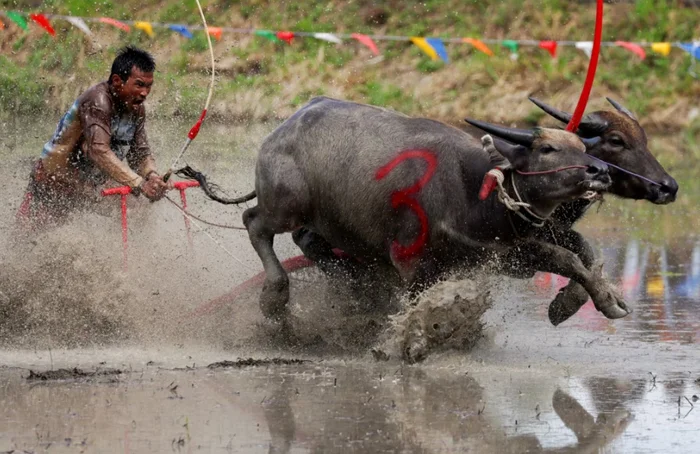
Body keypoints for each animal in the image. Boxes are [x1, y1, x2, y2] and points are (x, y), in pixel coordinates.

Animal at [182, 96, 628, 322]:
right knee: (254, 223)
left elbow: (570, 259)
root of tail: (280, 130)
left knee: (310, 242)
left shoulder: (505, 251)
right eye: (547, 149)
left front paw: (605, 302)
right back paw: (275, 296)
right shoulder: (409, 259)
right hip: (283, 204)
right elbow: (415, 301)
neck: (471, 190)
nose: (601, 171)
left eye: (582, 146)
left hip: (330, 222)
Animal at [498, 96, 680, 326]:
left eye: (644, 139)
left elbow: (585, 251)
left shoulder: (555, 231)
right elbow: (568, 258)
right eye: (616, 140)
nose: (669, 187)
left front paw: (571, 300)